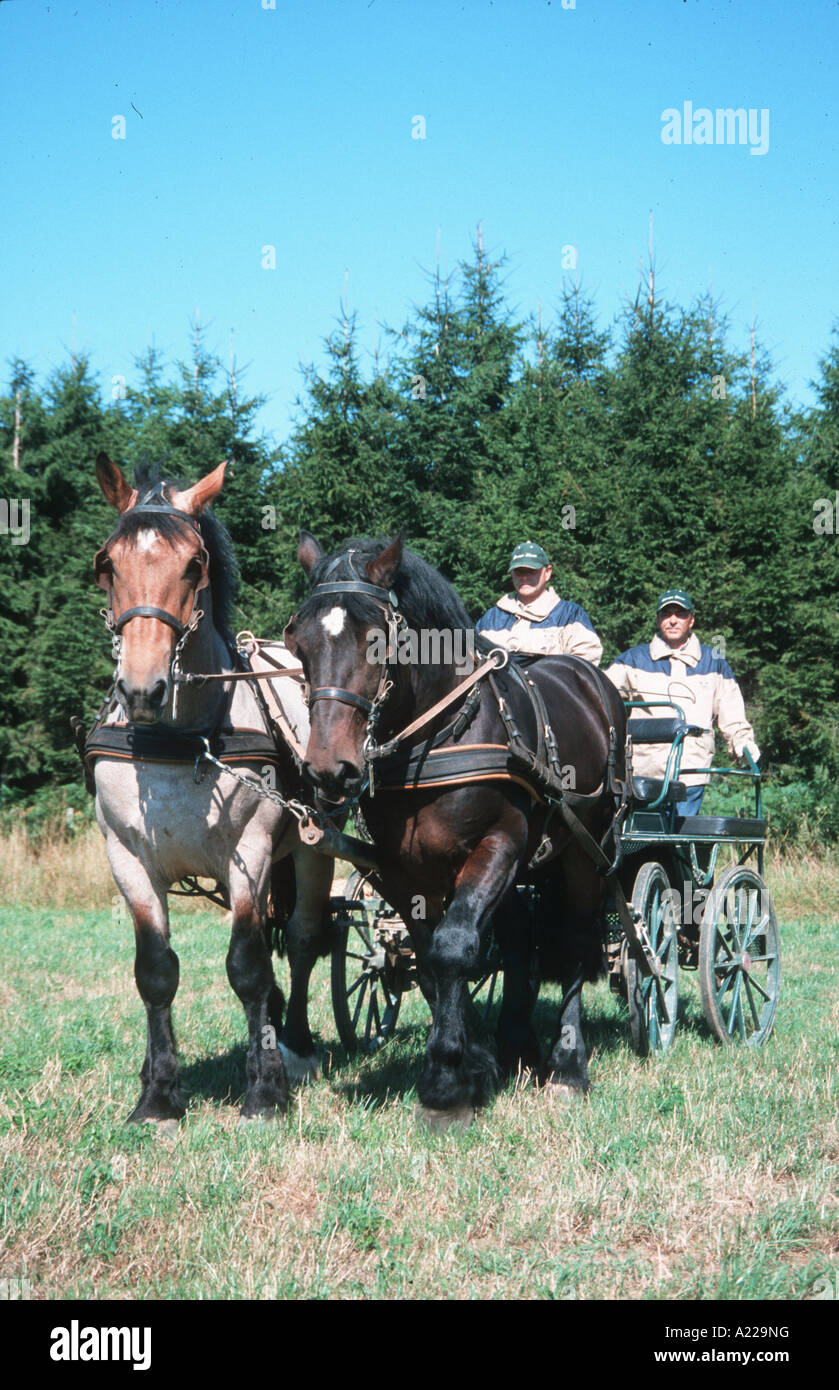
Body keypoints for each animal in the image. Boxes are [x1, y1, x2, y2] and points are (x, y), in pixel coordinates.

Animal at [87, 458, 330, 1128]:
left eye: (193, 565)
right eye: (106, 564)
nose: (142, 687)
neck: (178, 739)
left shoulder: (250, 850)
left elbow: (247, 966)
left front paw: (266, 1090)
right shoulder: (127, 859)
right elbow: (155, 972)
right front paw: (157, 1096)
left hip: (313, 847)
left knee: (303, 938)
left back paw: (295, 1043)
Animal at [284, 530, 625, 1128]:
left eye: (376, 640)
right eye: (298, 641)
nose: (329, 770)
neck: (439, 736)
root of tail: (596, 685)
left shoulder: (497, 845)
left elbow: (454, 947)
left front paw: (445, 1082)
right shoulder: (402, 871)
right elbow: (429, 959)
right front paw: (477, 1062)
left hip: (586, 851)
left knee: (576, 940)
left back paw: (566, 1065)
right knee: (519, 940)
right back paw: (518, 1046)